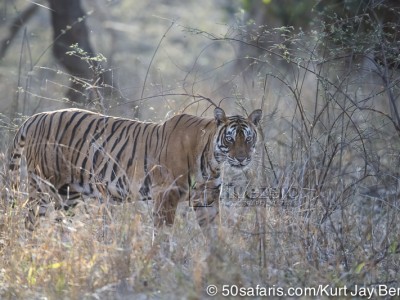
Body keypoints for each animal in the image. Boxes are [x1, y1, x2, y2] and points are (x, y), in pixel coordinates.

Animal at [8, 106, 262, 231]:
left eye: (248, 139)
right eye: (230, 139)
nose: (242, 159)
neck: (212, 160)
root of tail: (36, 116)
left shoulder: (207, 197)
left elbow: (213, 232)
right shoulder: (166, 195)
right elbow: (162, 235)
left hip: (68, 194)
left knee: (61, 225)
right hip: (41, 187)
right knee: (30, 221)